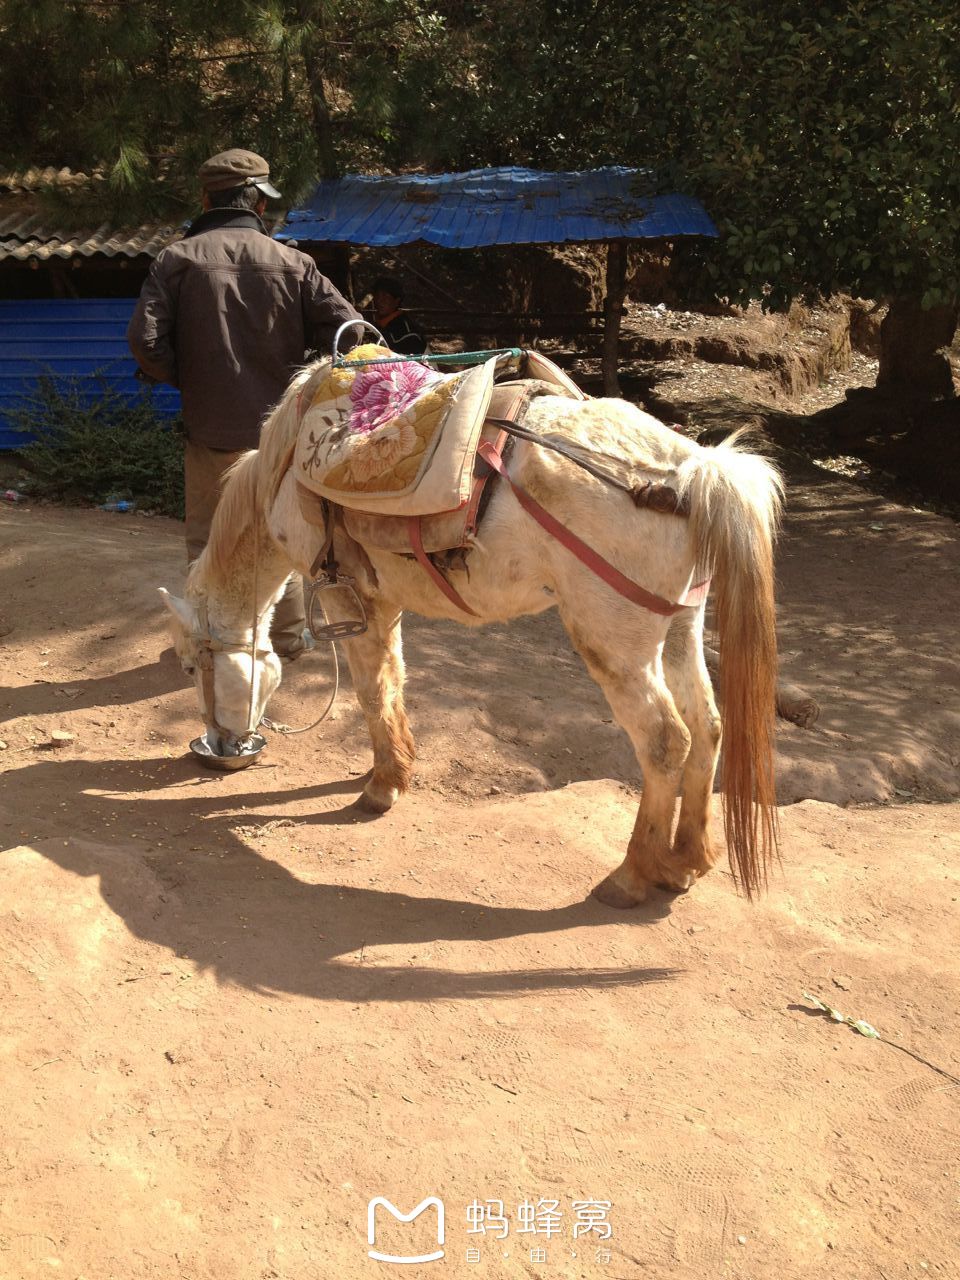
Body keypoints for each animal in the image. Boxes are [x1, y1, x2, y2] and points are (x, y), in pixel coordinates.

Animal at [161, 355, 783, 906]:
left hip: (618, 649)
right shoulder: (384, 601)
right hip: (680, 629)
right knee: (708, 727)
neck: (290, 464)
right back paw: (686, 861)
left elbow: (370, 690)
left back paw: (630, 877)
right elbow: (393, 679)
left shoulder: (345, 593)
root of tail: (693, 471)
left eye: (193, 667)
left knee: (666, 743)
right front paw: (398, 765)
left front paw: (381, 788)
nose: (222, 744)